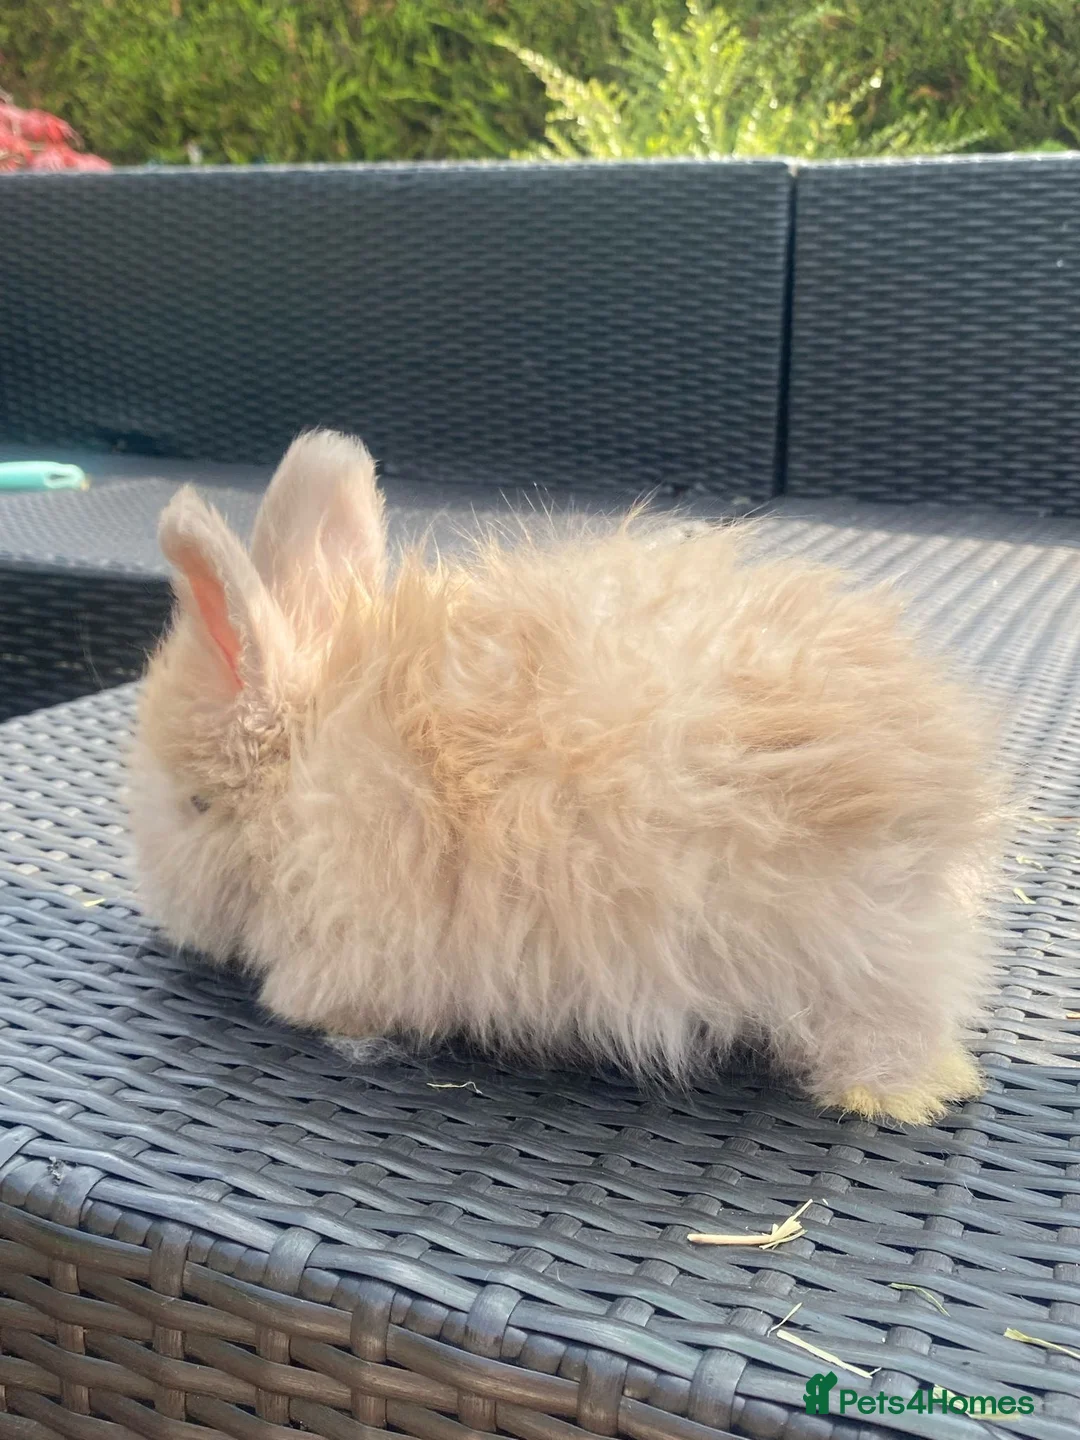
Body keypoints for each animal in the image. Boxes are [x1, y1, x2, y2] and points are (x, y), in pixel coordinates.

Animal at [130, 429, 1006, 1126]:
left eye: (194, 804)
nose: (171, 923)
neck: (301, 776)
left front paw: (316, 1019)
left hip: (843, 954)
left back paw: (885, 1098)